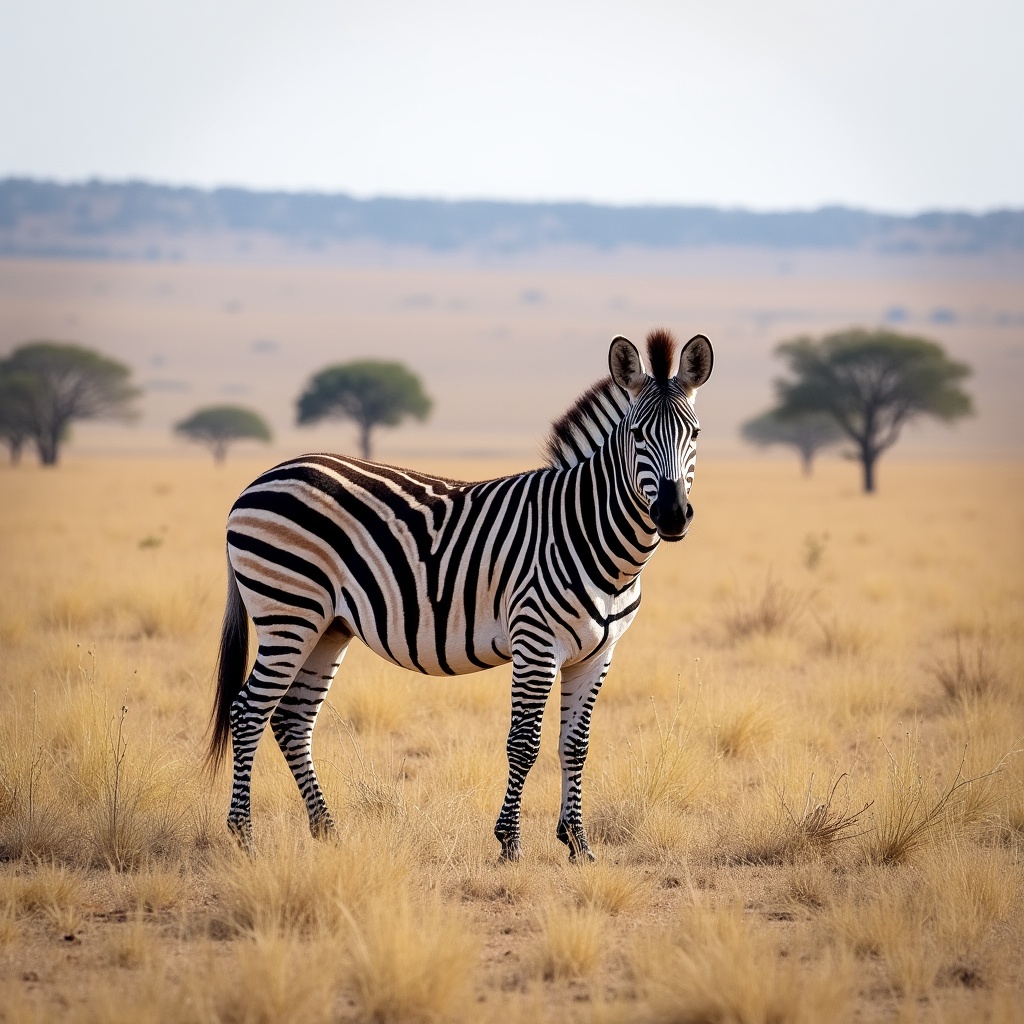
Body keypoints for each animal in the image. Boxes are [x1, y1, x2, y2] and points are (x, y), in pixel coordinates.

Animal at [207, 328, 713, 861]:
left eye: (696, 434)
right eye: (637, 435)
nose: (673, 515)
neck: (591, 536)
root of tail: (261, 478)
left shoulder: (597, 653)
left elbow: (575, 746)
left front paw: (578, 844)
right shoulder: (536, 643)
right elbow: (524, 743)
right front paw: (509, 843)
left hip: (327, 625)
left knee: (291, 719)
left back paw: (327, 830)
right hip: (288, 612)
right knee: (248, 712)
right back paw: (244, 838)